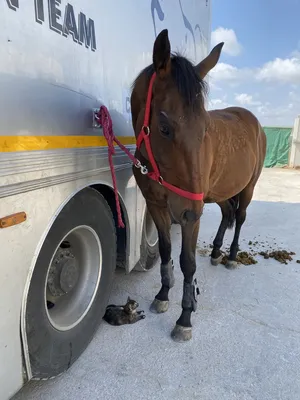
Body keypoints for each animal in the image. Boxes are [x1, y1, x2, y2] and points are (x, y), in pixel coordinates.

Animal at [130, 29, 266, 342]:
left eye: (205, 129)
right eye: (164, 128)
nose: (188, 211)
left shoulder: (191, 215)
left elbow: (187, 262)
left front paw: (185, 317)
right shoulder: (157, 205)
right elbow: (166, 251)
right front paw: (163, 295)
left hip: (245, 189)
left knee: (240, 217)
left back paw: (231, 256)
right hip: (217, 193)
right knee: (228, 213)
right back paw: (215, 252)